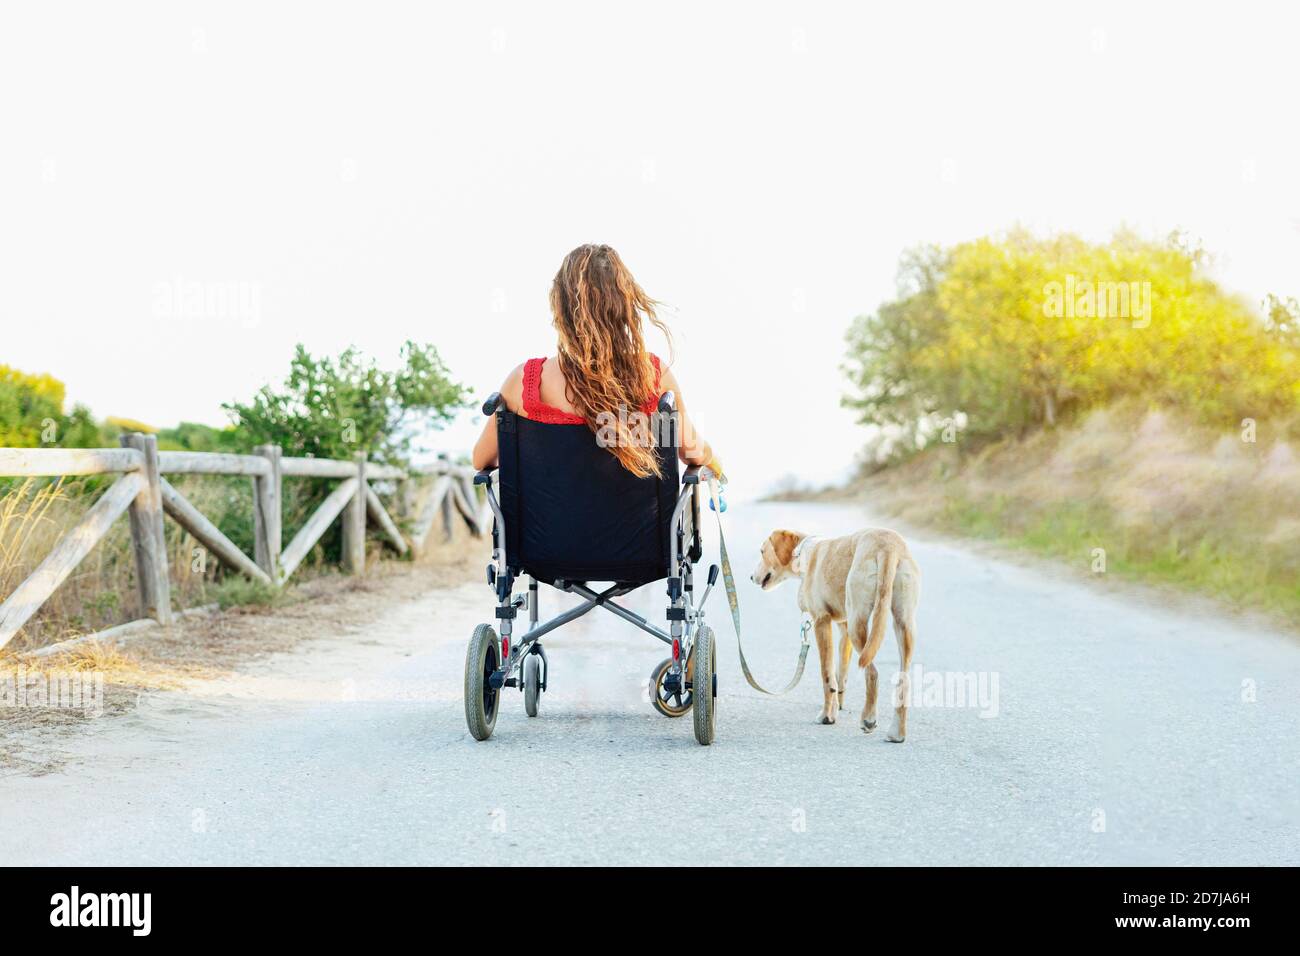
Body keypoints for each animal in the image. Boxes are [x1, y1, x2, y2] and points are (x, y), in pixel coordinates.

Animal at [748, 530, 920, 738]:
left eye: (762, 551)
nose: (750, 577)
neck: (804, 552)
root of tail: (888, 546)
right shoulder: (843, 628)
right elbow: (840, 675)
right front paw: (838, 706)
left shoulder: (821, 622)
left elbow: (827, 674)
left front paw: (827, 716)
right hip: (902, 625)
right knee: (904, 679)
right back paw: (897, 733)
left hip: (857, 624)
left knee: (872, 672)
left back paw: (868, 719)